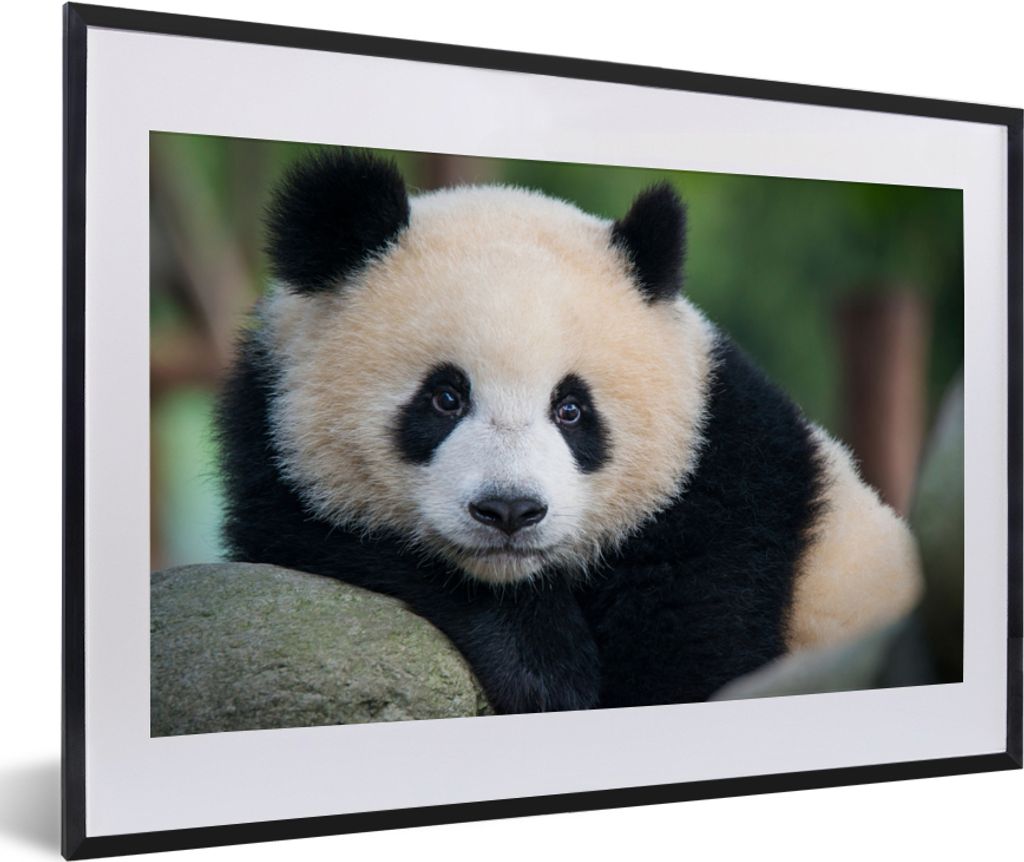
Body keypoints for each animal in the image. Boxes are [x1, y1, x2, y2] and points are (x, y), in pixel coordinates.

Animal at [217, 149, 922, 714]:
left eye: (572, 410)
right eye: (445, 397)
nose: (509, 510)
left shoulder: (728, 492)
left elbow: (693, 657)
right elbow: (325, 533)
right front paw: (543, 666)